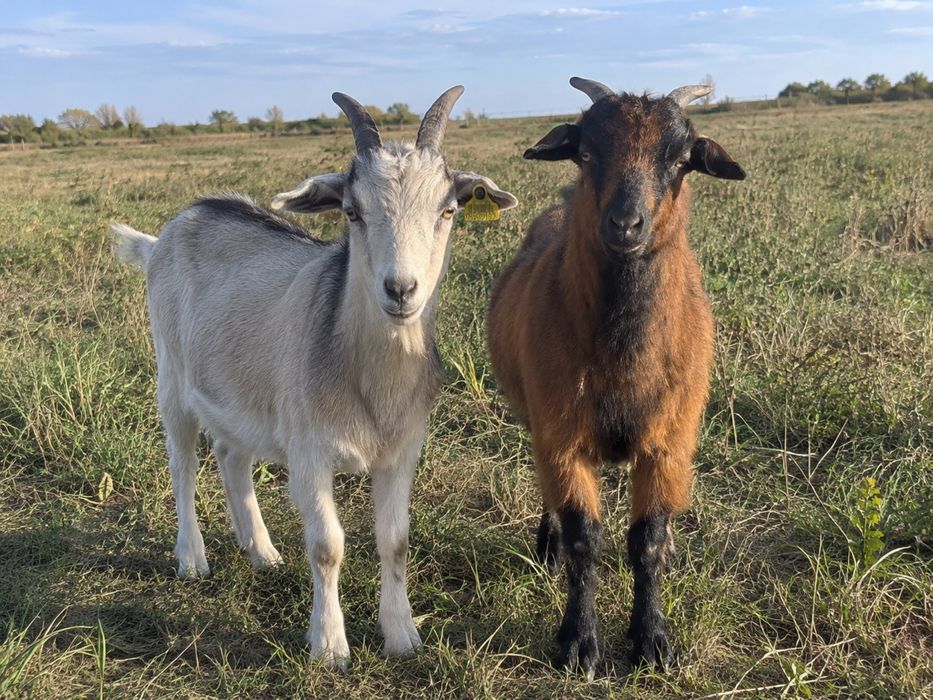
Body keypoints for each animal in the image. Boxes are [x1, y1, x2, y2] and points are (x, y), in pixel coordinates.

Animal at [112, 87, 517, 668]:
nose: (401, 290)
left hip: (240, 394)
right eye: (352, 211)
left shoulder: (401, 451)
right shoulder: (308, 451)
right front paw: (329, 647)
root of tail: (171, 229)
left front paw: (402, 635)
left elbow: (395, 540)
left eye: (448, 210)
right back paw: (191, 558)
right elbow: (328, 545)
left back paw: (260, 550)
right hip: (171, 373)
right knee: (182, 462)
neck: (366, 380)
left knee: (230, 455)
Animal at [487, 77, 745, 677]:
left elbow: (646, 542)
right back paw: (547, 546)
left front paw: (652, 641)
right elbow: (585, 542)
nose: (626, 226)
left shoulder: (668, 445)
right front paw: (578, 644)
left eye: (680, 160)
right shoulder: (562, 438)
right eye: (585, 154)